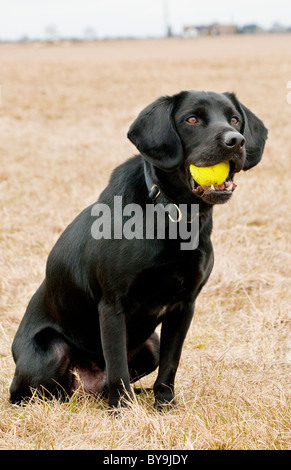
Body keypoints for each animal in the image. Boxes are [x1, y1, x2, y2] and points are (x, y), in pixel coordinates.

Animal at [9, 91, 270, 408]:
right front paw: (123, 411)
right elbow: (118, 366)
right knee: (34, 393)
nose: (236, 141)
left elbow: (171, 362)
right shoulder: (112, 307)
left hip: (150, 345)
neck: (173, 215)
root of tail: (88, 389)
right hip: (49, 353)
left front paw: (165, 404)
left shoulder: (184, 306)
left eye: (234, 120)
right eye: (191, 119)